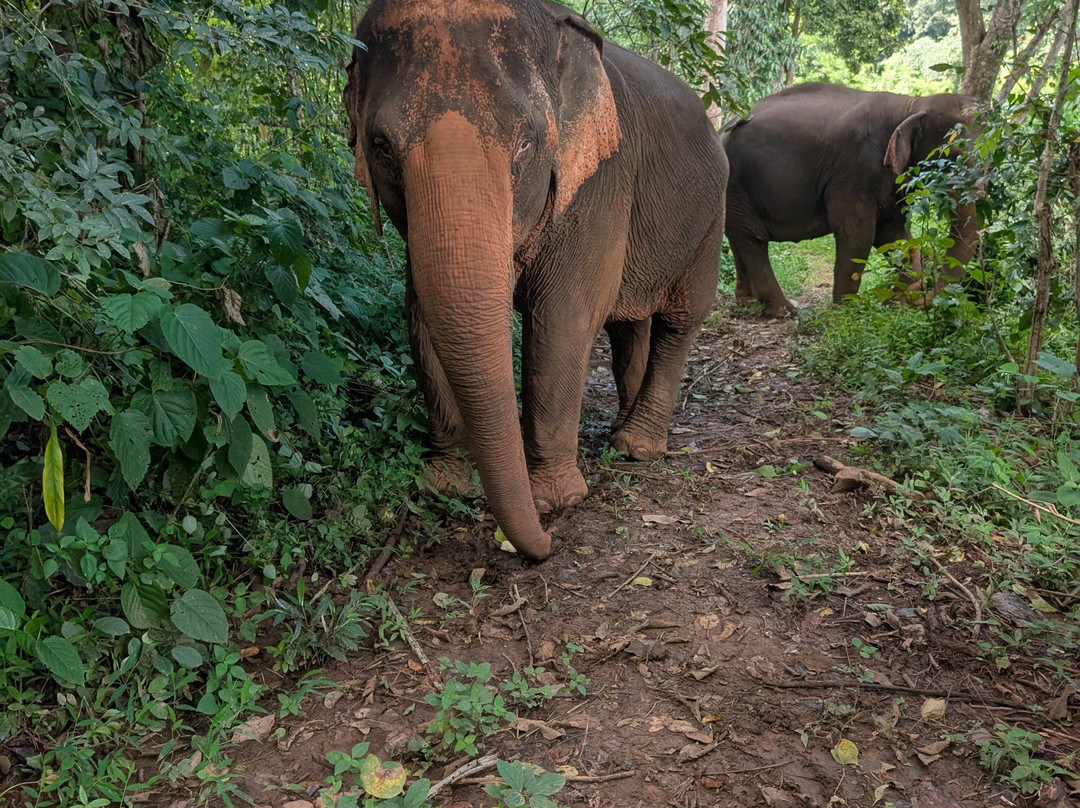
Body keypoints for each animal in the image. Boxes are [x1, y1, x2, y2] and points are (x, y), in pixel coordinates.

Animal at [344, 0, 728, 560]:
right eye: (382, 147)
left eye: (527, 144)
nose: (544, 546)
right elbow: (420, 319)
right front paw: (446, 485)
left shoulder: (599, 183)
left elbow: (563, 320)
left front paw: (555, 501)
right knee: (626, 325)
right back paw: (620, 427)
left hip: (710, 219)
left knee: (680, 321)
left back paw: (636, 448)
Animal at [722, 82, 978, 317]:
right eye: (952, 154)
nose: (919, 294)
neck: (911, 104)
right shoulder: (854, 170)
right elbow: (856, 233)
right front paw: (843, 312)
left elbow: (894, 234)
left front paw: (901, 300)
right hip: (735, 182)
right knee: (752, 239)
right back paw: (784, 312)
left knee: (738, 236)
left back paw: (748, 304)